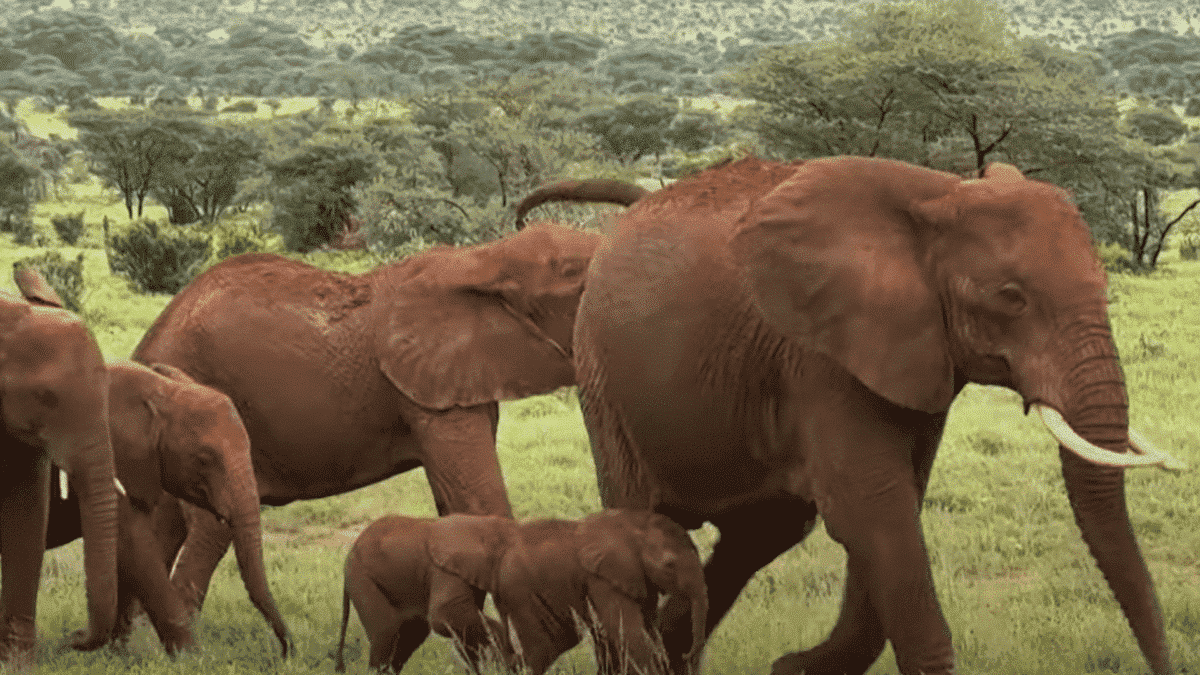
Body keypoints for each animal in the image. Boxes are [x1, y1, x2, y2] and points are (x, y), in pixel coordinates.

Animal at [130, 221, 622, 621]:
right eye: (581, 284)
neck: (487, 258)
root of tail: (147, 343)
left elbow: (455, 508)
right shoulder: (427, 392)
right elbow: (481, 506)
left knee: (165, 523)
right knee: (207, 527)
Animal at [333, 509, 707, 675]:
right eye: (670, 565)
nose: (689, 655)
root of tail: (347, 559)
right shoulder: (444, 568)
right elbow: (445, 616)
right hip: (364, 579)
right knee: (389, 631)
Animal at [530, 156, 1186, 675]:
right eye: (1012, 298)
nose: (1163, 666)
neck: (940, 195)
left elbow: (893, 507)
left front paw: (793, 668)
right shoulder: (820, 357)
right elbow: (872, 511)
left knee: (762, 534)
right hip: (602, 379)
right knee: (643, 520)